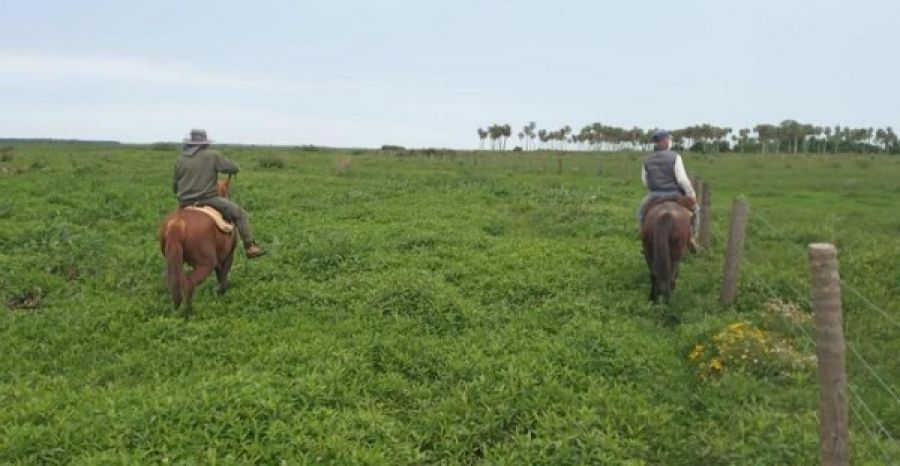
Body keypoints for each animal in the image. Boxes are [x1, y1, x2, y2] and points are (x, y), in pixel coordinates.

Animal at [158, 177, 236, 315]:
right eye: (229, 192)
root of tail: (177, 224)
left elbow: (219, 276)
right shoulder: (228, 256)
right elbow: (223, 277)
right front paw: (221, 293)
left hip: (174, 262)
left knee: (176, 284)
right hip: (205, 264)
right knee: (189, 284)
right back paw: (189, 312)